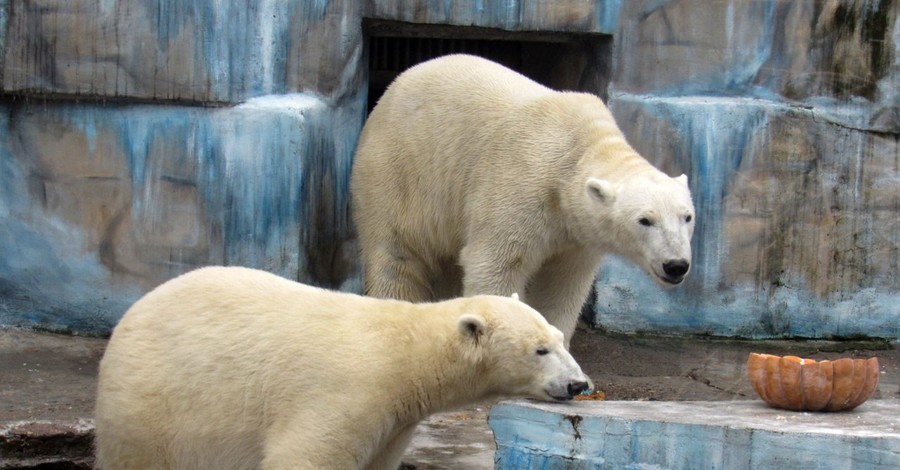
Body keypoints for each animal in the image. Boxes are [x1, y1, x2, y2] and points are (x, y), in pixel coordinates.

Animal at [93, 266, 592, 468]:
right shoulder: (345, 391)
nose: (578, 384)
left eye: (559, 339)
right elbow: (304, 456)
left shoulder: (395, 422)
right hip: (152, 405)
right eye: (540, 350)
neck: (403, 352)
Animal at [352, 56, 696, 348]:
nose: (676, 265)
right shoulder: (521, 185)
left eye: (687, 217)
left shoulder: (577, 235)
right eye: (645, 220)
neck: (579, 149)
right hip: (398, 173)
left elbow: (563, 284)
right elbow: (496, 264)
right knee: (396, 257)